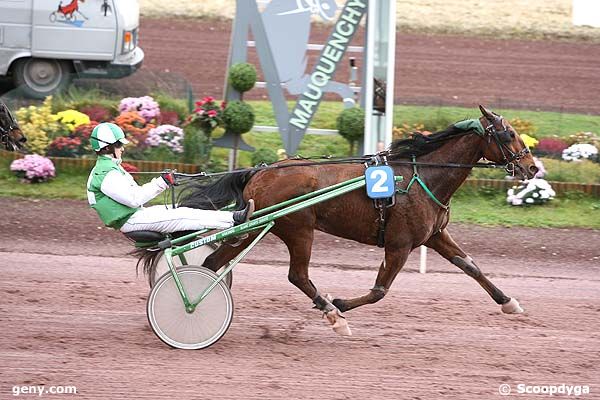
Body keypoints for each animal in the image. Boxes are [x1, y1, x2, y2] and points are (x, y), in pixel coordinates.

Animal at [152, 105, 540, 334]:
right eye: (508, 134)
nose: (532, 167)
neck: (422, 176)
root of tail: (261, 171)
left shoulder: (433, 236)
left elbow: (470, 266)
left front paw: (509, 303)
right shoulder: (399, 244)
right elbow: (380, 291)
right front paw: (339, 304)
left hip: (255, 226)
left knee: (214, 262)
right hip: (298, 229)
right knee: (297, 275)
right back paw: (331, 314)